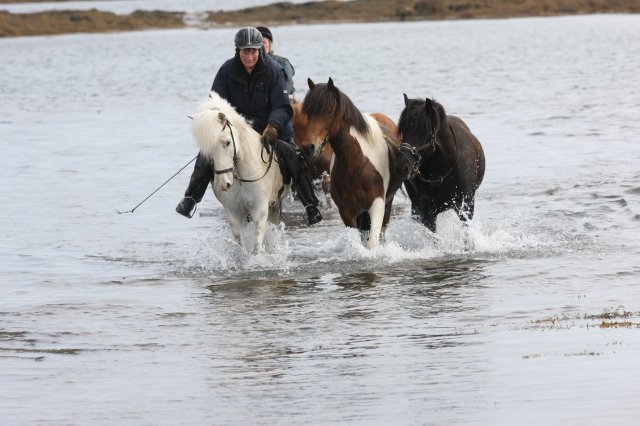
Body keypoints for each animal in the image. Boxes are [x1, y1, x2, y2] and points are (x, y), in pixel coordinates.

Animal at [190, 90, 290, 253]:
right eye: (207, 150)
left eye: (227, 142)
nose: (223, 184)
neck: (240, 177)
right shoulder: (233, 213)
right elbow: (241, 246)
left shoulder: (260, 209)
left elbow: (257, 245)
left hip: (274, 205)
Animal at [302, 77, 402, 250]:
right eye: (308, 112)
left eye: (328, 111)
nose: (309, 147)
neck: (357, 164)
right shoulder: (347, 212)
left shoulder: (377, 205)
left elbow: (372, 243)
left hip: (387, 204)